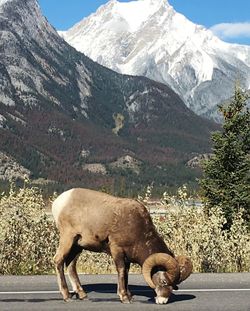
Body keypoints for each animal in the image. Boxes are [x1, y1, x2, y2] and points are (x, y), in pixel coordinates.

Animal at [52, 188, 193, 304]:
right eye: (164, 281)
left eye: (174, 285)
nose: (163, 300)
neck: (139, 230)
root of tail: (59, 201)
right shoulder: (117, 250)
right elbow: (121, 271)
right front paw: (124, 297)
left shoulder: (127, 256)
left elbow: (126, 273)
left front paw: (129, 295)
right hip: (68, 238)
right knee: (59, 260)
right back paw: (66, 296)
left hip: (77, 246)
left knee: (71, 265)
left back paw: (82, 295)